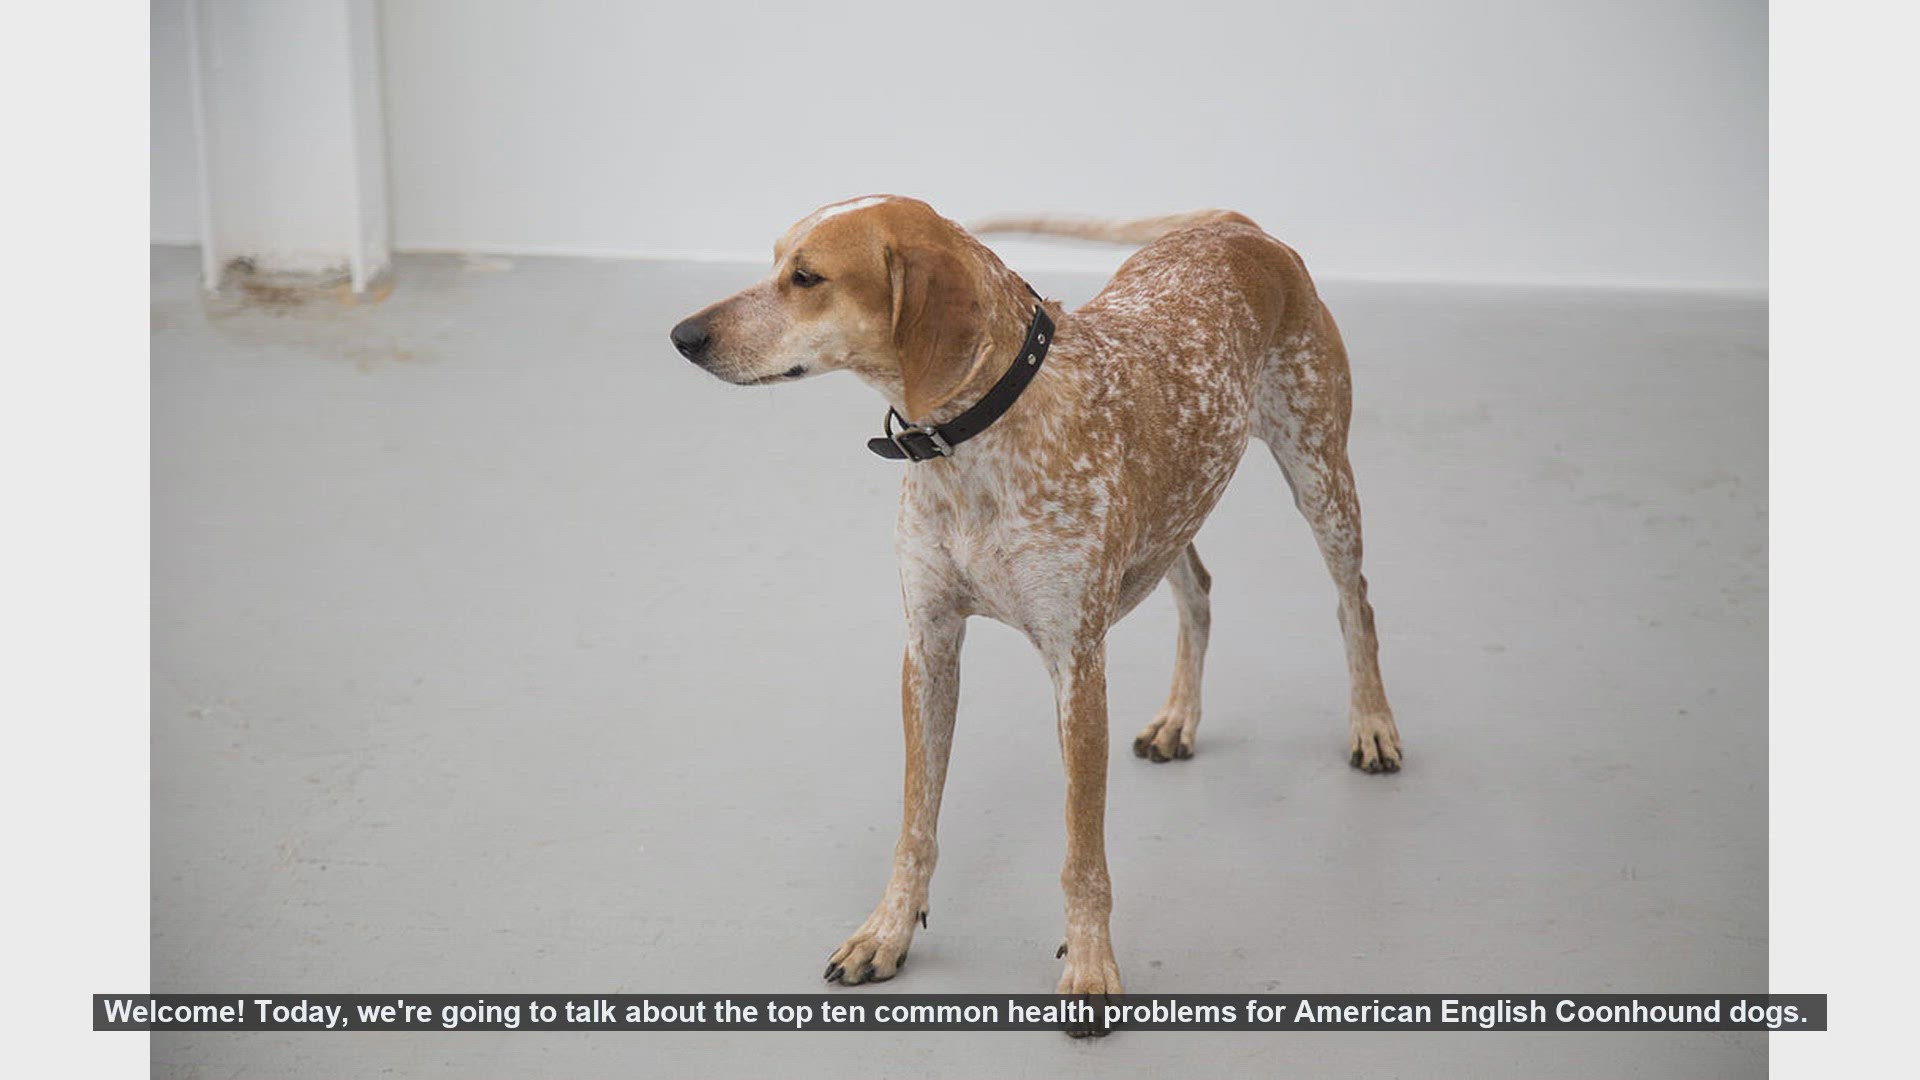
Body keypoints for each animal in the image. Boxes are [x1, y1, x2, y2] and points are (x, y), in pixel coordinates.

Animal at [670, 195, 1399, 1031]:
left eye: (807, 277)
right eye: (774, 263)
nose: (683, 336)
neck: (975, 440)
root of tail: (1235, 224)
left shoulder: (1076, 667)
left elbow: (1082, 855)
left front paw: (1089, 966)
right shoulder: (929, 649)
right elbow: (916, 825)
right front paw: (889, 931)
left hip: (1319, 476)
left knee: (1354, 604)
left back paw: (1373, 724)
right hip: (1178, 507)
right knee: (1200, 592)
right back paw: (1180, 717)